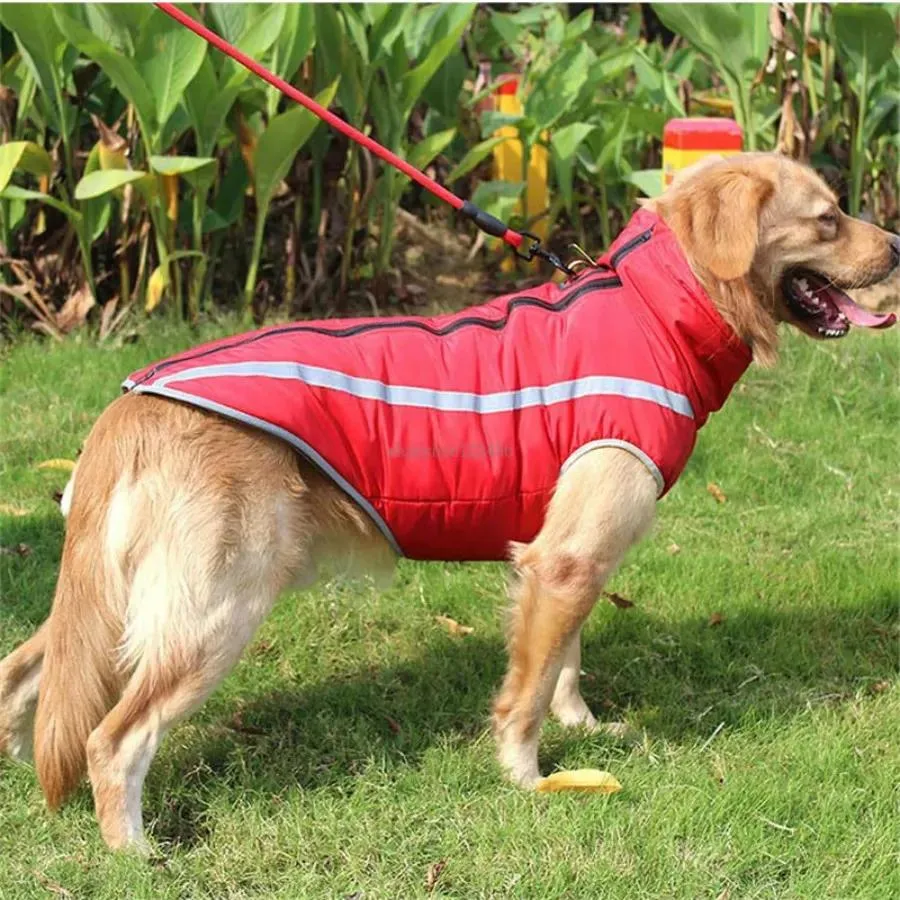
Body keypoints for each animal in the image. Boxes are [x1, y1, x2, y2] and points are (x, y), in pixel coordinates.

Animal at [1, 151, 900, 848]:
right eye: (827, 219)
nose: (896, 246)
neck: (657, 307)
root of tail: (129, 404)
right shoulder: (565, 561)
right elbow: (526, 694)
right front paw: (530, 777)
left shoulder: (572, 558)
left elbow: (565, 664)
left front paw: (584, 727)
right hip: (215, 610)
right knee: (112, 740)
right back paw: (134, 852)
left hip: (117, 600)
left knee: (25, 676)